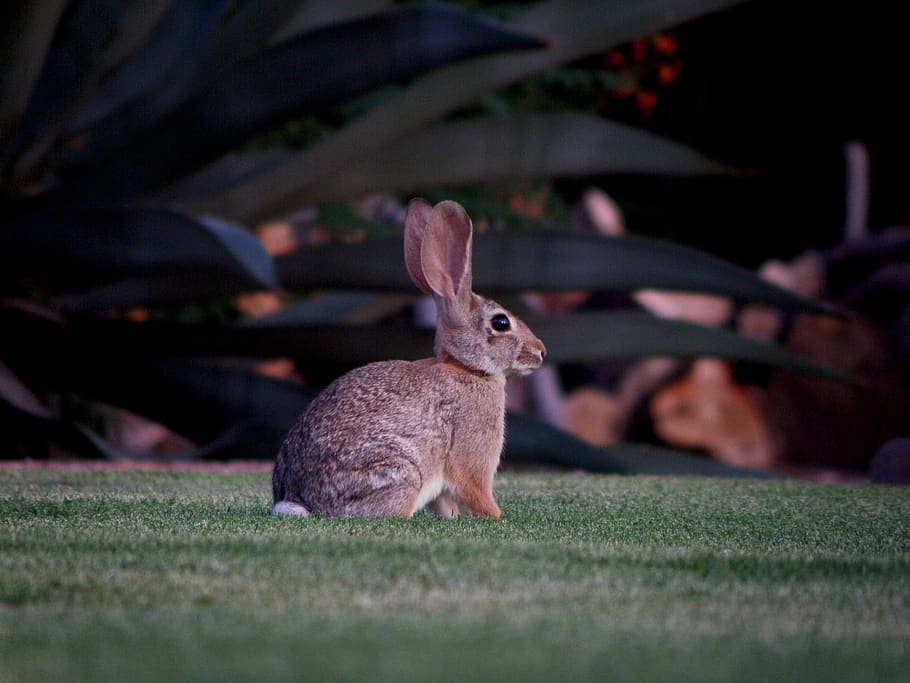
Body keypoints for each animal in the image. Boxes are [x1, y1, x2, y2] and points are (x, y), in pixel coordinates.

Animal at [272, 198, 546, 519]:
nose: (541, 351)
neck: (467, 367)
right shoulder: (471, 453)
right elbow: (475, 491)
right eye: (501, 323)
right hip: (401, 472)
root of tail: (299, 503)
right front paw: (498, 518)